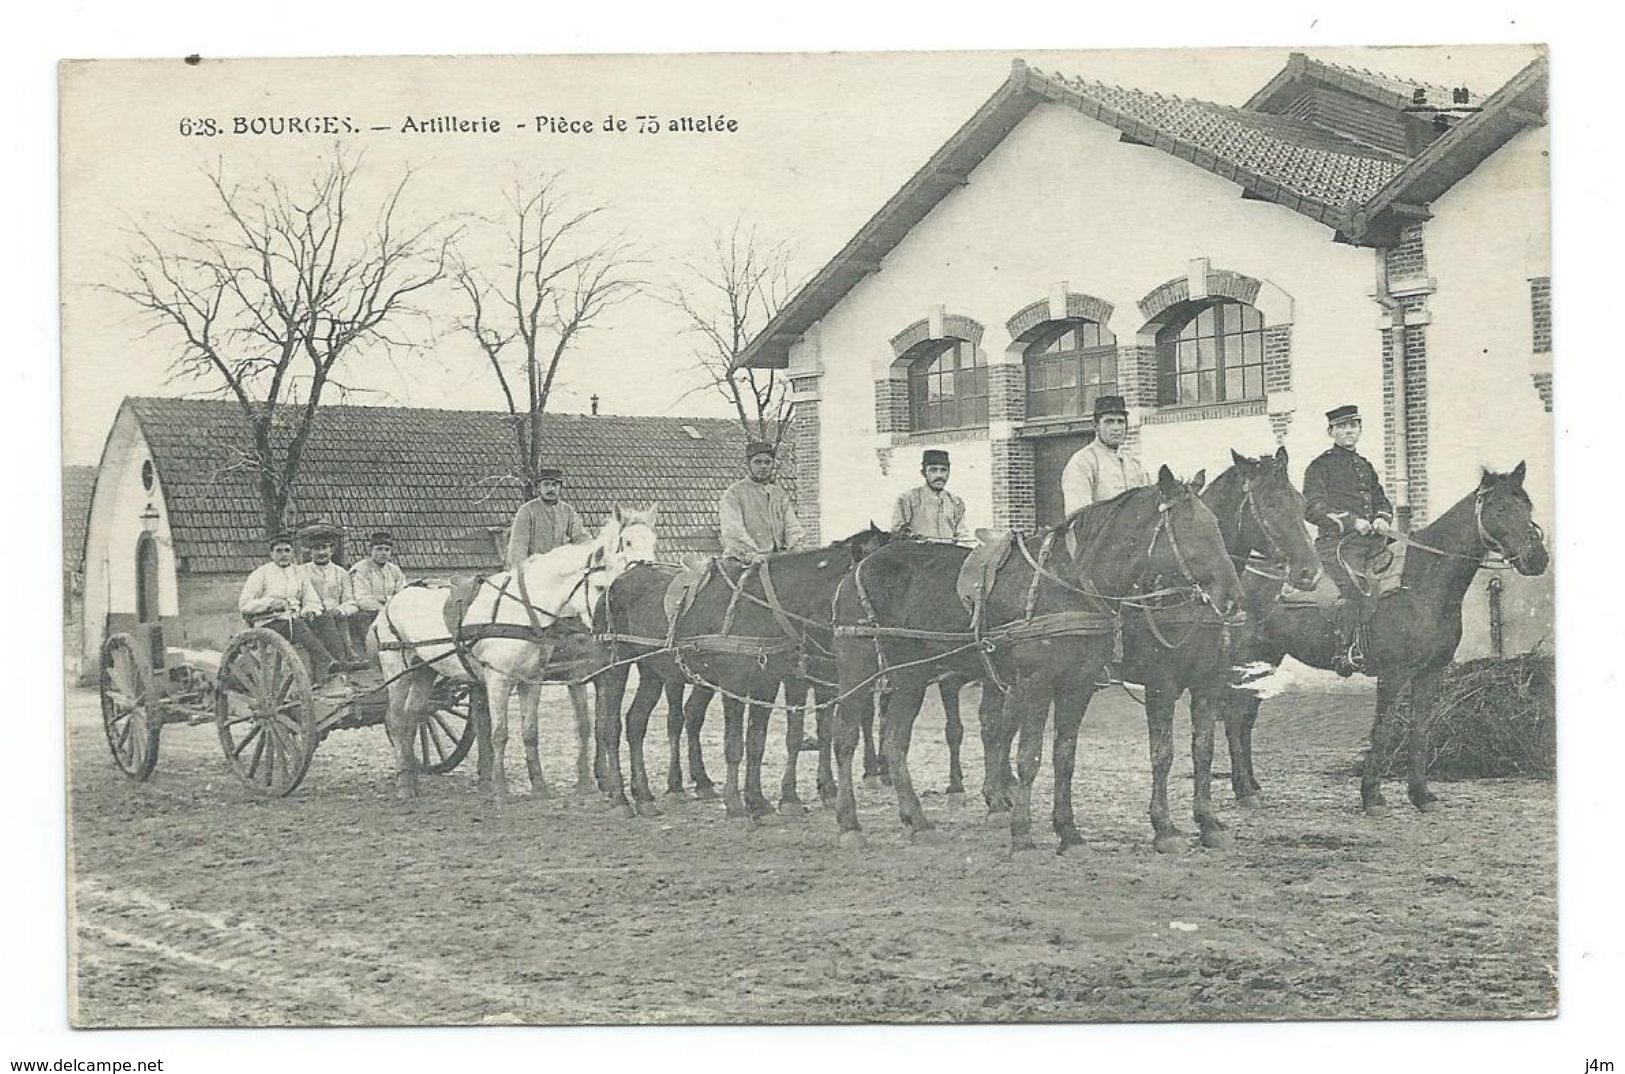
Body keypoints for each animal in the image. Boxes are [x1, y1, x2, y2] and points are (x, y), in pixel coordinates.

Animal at [372, 503, 659, 796]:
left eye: (654, 541)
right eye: (627, 541)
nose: (608, 626)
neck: (524, 610)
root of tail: (392, 600)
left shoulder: (534, 679)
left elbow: (536, 731)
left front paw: (542, 786)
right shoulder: (504, 679)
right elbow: (501, 733)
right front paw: (501, 788)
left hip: (424, 670)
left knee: (414, 718)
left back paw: (417, 779)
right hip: (398, 669)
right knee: (396, 720)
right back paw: (405, 784)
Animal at [666, 523, 897, 815]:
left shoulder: (816, 681)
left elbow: (815, 734)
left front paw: (826, 790)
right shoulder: (776, 682)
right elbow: (781, 737)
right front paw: (784, 798)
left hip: (705, 678)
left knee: (693, 714)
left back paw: (703, 782)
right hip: (668, 676)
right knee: (673, 721)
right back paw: (673, 786)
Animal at [832, 464, 1235, 851]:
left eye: (1217, 526)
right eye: (1190, 528)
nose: (1232, 597)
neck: (1069, 584)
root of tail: (859, 566)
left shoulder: (1080, 685)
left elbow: (1066, 756)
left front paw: (1069, 833)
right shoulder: (1048, 684)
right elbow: (1032, 757)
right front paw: (1024, 836)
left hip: (912, 676)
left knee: (896, 741)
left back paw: (919, 821)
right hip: (857, 669)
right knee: (846, 738)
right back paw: (850, 825)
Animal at [1222, 461, 1553, 812]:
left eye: (1527, 506)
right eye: (1500, 508)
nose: (1537, 558)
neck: (1423, 579)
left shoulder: (1430, 673)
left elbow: (1419, 728)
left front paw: (1420, 794)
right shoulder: (1394, 674)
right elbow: (1383, 728)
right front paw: (1372, 795)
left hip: (1266, 658)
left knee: (1246, 720)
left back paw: (1252, 786)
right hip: (1246, 656)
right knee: (1233, 718)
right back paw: (1243, 790)